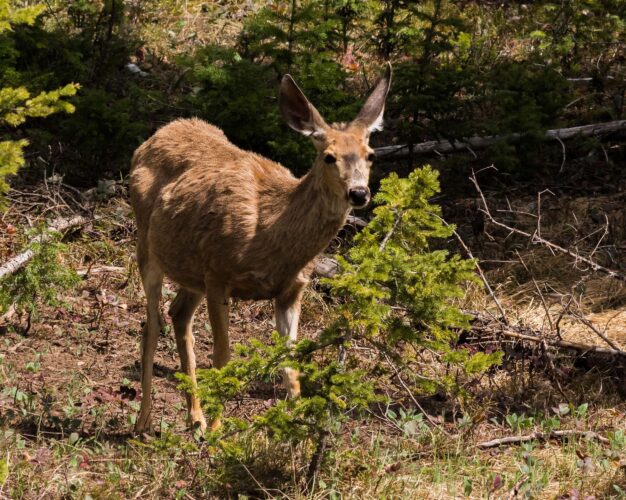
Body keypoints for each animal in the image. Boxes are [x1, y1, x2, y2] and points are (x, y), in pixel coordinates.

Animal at [129, 63, 390, 434]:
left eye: (371, 155)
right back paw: (145, 421)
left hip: (191, 270)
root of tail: (156, 135)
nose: (359, 193)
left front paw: (297, 427)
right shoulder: (219, 276)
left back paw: (195, 417)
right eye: (329, 157)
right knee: (150, 325)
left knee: (178, 315)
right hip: (148, 249)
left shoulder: (291, 290)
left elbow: (291, 363)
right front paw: (219, 431)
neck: (271, 232)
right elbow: (223, 357)